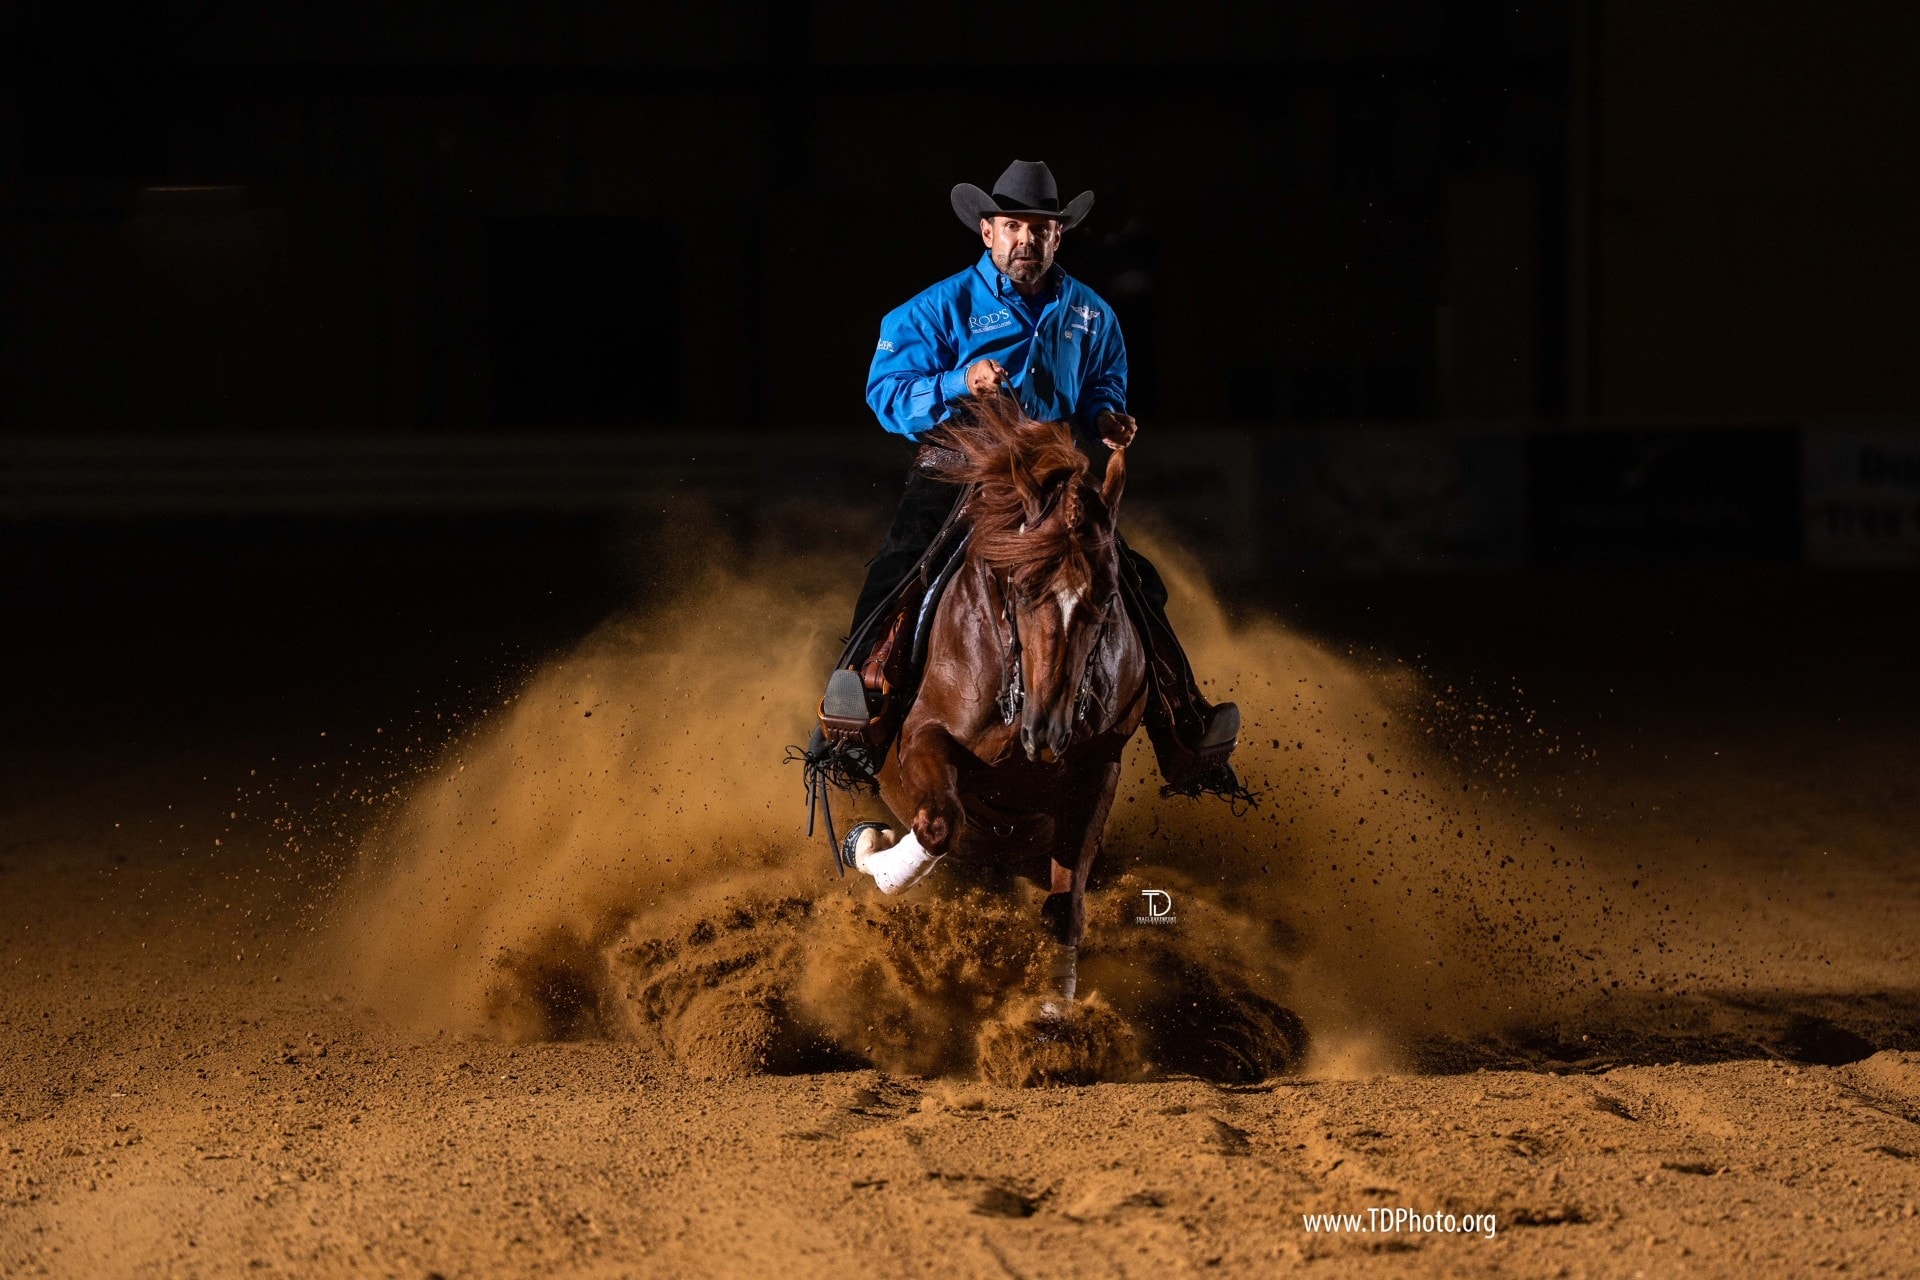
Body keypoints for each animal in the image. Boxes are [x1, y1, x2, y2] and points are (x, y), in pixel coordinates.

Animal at [842, 395, 1148, 1007]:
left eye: (1108, 596)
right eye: (1022, 585)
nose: (1048, 734)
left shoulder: (1098, 767)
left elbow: (1066, 907)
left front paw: (1053, 1010)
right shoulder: (923, 736)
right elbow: (938, 824)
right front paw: (871, 852)